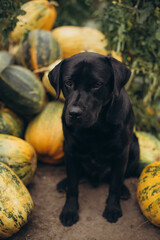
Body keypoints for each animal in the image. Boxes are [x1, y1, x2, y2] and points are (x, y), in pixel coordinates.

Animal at [48, 52, 139, 227]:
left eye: (97, 84)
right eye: (68, 82)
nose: (74, 113)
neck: (96, 127)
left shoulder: (121, 153)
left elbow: (115, 183)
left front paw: (113, 208)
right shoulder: (71, 150)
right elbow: (73, 186)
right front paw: (69, 210)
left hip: (135, 147)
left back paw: (124, 190)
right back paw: (64, 183)